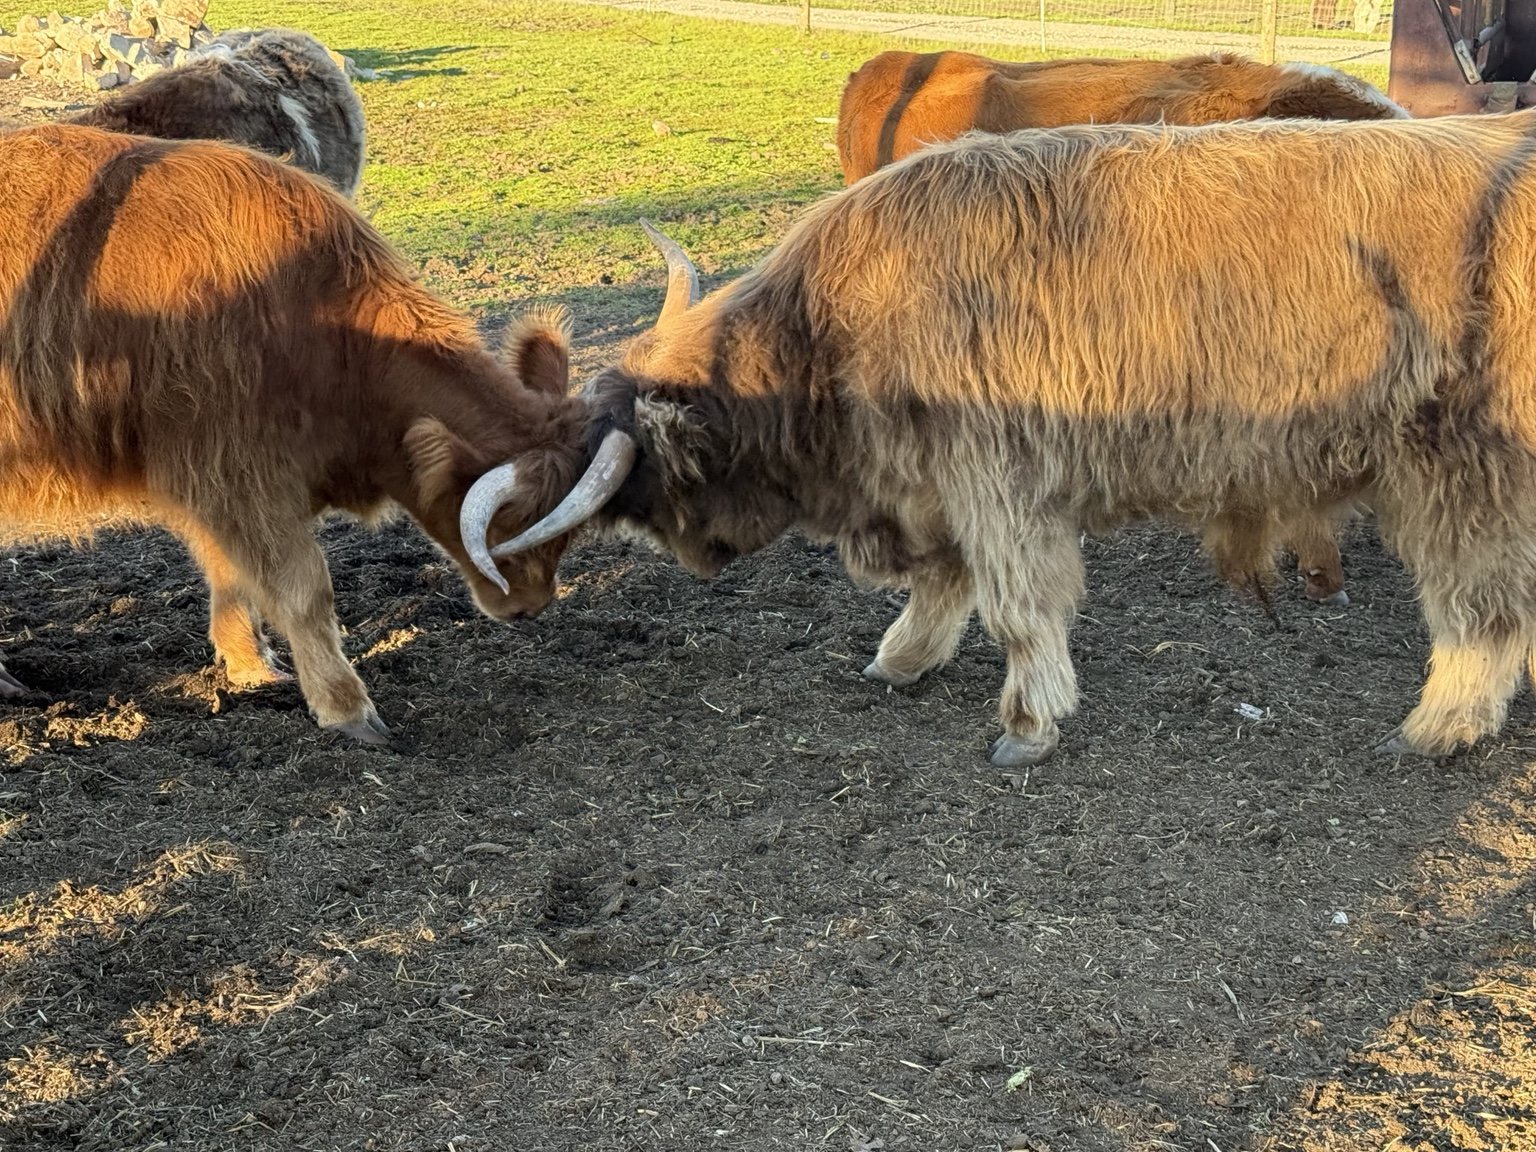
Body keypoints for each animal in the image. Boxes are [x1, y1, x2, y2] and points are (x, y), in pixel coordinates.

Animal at [0, 124, 585, 742]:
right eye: (509, 521)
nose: (531, 605)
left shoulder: (221, 482)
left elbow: (232, 573)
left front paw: (251, 666)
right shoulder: (233, 472)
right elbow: (303, 588)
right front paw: (347, 708)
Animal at [469, 110, 1536, 768]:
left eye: (647, 492)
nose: (699, 562)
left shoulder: (996, 475)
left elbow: (1019, 603)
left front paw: (1028, 723)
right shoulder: (936, 483)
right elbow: (945, 583)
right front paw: (902, 659)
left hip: (1462, 464)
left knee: (1483, 607)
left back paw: (1439, 726)